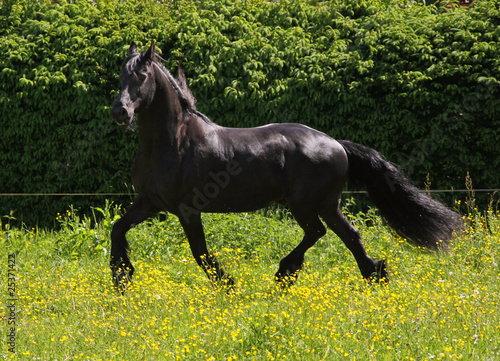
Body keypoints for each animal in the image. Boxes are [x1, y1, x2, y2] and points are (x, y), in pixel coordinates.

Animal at [111, 41, 462, 290]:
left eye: (142, 76)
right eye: (120, 76)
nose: (120, 113)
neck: (173, 143)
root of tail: (337, 144)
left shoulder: (187, 210)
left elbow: (201, 254)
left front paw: (228, 285)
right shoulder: (150, 202)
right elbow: (118, 229)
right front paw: (121, 277)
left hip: (304, 205)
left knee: (317, 232)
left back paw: (284, 274)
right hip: (328, 204)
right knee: (350, 235)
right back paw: (374, 276)